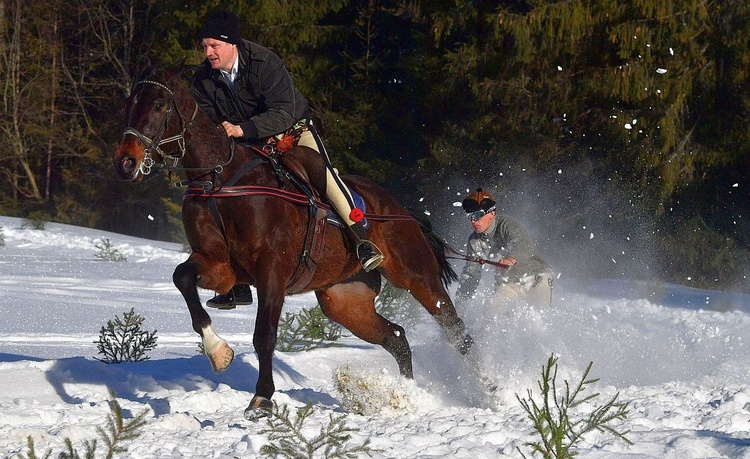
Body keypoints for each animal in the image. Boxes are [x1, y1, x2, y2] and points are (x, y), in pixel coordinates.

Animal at [114, 63, 484, 422]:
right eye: (129, 103)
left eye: (159, 105)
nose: (125, 161)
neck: (221, 181)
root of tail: (402, 211)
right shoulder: (219, 266)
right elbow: (182, 277)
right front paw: (218, 352)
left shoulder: (272, 272)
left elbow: (264, 336)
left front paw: (262, 399)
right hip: (344, 301)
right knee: (396, 337)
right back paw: (406, 394)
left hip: (416, 276)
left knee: (458, 333)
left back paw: (488, 389)